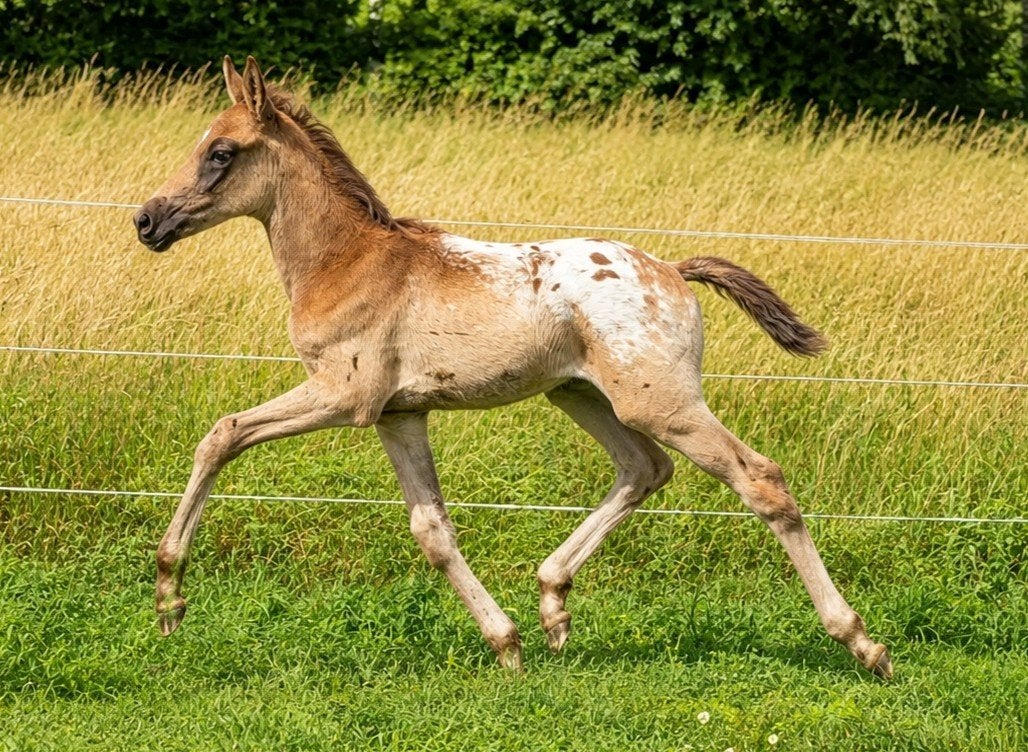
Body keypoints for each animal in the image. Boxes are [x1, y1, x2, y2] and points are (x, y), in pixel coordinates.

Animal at [133, 56, 891, 678]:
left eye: (221, 152)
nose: (148, 220)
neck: (346, 262)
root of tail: (674, 273)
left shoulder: (344, 395)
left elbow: (223, 434)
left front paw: (169, 595)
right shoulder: (400, 413)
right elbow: (432, 532)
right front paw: (507, 644)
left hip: (663, 402)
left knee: (760, 479)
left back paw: (862, 642)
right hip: (581, 396)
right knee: (644, 468)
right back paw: (554, 603)